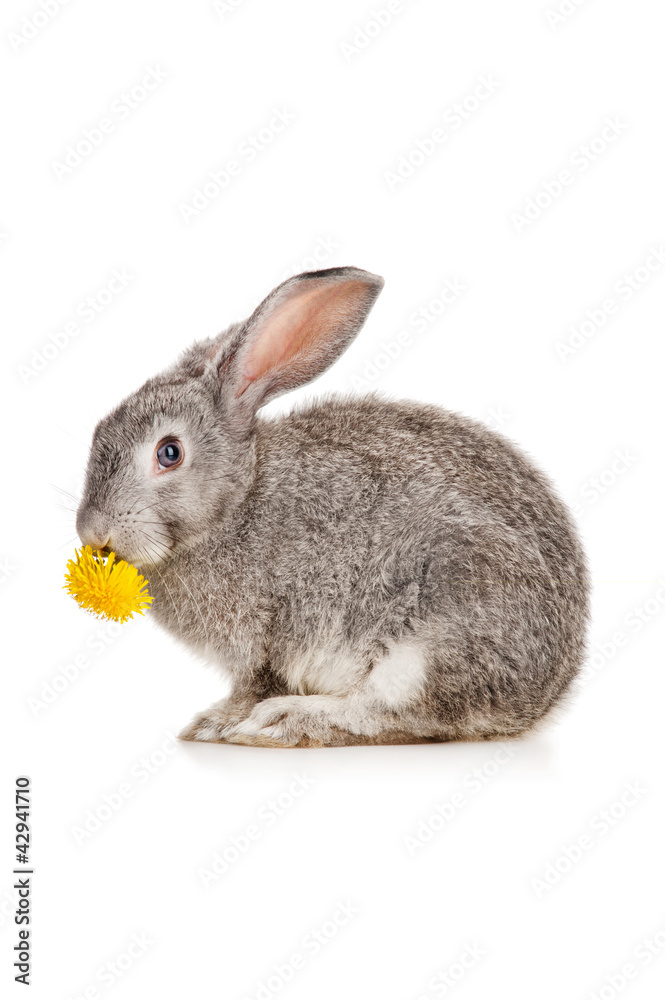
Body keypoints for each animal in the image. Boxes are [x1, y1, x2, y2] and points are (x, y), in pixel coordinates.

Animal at [76, 265, 589, 747]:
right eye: (98, 433)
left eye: (169, 453)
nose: (93, 532)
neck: (237, 503)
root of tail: (542, 697)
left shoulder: (269, 640)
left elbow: (255, 685)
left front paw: (217, 722)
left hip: (437, 625)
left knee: (391, 713)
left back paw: (286, 721)